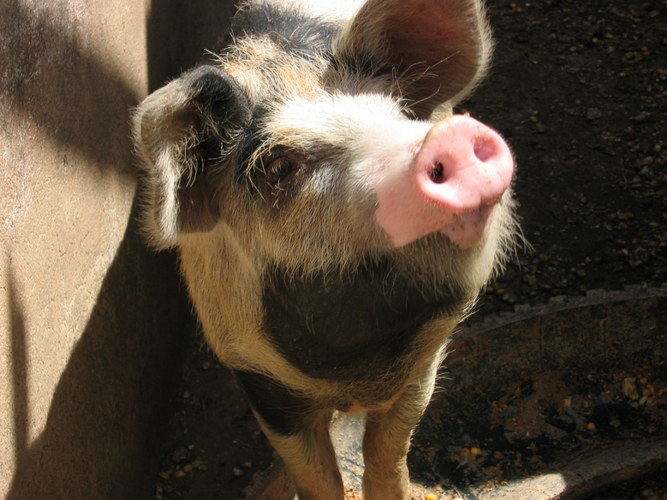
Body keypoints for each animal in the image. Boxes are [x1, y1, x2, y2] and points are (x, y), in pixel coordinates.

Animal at [134, 0, 520, 498]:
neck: (354, 367)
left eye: (400, 112)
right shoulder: (256, 376)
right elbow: (314, 474)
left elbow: (388, 450)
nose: (448, 137)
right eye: (279, 168)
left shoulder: (427, 358)